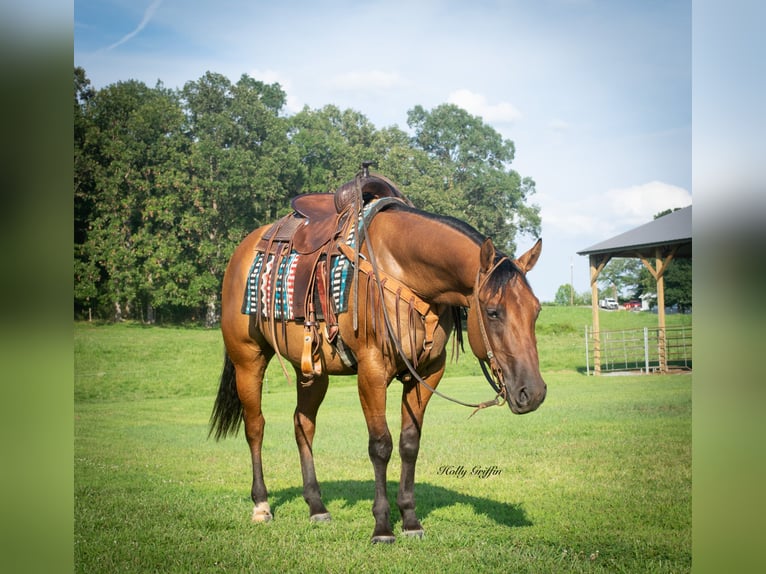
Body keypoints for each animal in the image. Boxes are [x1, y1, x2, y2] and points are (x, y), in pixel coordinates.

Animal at [209, 173, 547, 543]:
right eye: (493, 312)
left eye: (536, 310)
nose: (533, 392)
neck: (404, 271)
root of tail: (242, 252)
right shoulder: (371, 372)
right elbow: (380, 445)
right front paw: (383, 526)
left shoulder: (428, 373)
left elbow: (409, 443)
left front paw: (410, 520)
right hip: (248, 359)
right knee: (255, 426)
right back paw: (262, 505)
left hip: (311, 370)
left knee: (303, 424)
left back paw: (317, 506)